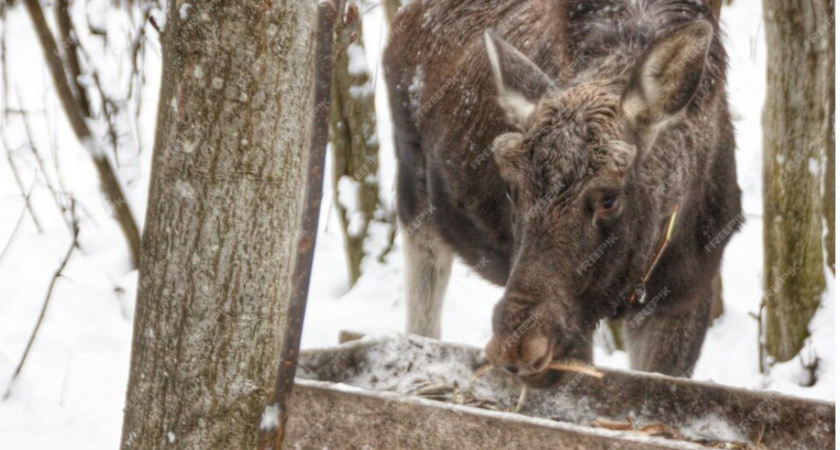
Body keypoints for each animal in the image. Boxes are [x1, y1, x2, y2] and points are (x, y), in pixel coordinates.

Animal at [384, 0, 740, 384]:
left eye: (610, 198)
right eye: (510, 190)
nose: (515, 344)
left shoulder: (687, 295)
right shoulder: (577, 320)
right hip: (415, 199)